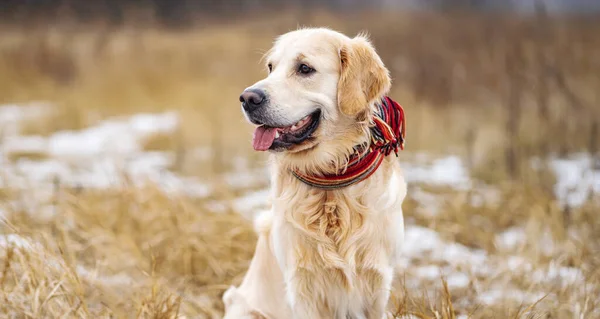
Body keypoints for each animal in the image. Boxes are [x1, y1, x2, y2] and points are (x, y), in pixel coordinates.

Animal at [224, 27, 408, 319]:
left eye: (304, 68)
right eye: (271, 67)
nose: (247, 98)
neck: (329, 180)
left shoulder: (377, 280)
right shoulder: (301, 285)